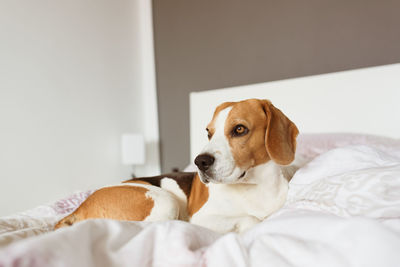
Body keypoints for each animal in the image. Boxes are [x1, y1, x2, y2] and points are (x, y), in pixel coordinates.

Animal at [55, 99, 300, 233]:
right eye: (209, 133)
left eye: (240, 129)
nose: (200, 161)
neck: (255, 186)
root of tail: (80, 207)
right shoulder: (203, 218)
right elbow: (250, 218)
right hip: (164, 201)